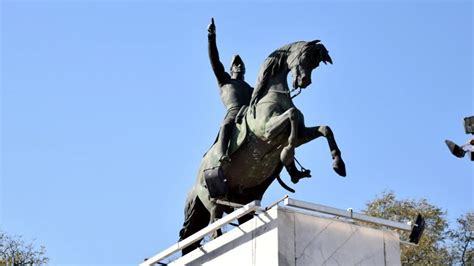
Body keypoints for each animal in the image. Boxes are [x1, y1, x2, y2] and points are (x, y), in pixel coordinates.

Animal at [178, 39, 344, 254]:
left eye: (314, 63)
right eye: (304, 57)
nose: (304, 81)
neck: (274, 97)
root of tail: (194, 184)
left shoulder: (301, 134)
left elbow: (325, 129)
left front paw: (338, 165)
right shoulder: (268, 131)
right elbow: (291, 116)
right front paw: (287, 154)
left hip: (244, 200)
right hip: (212, 200)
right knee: (214, 226)